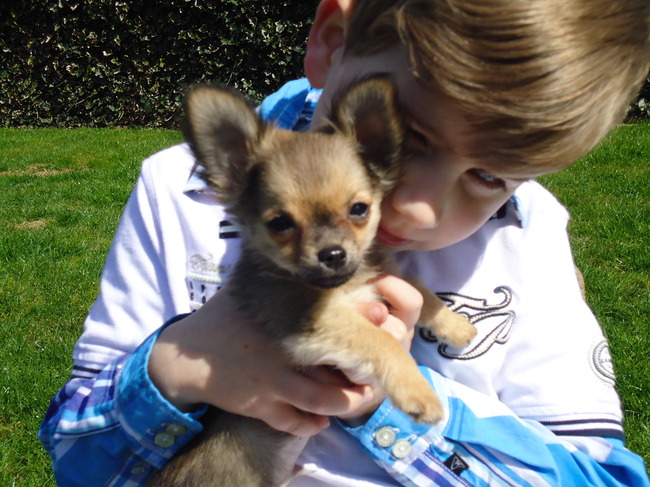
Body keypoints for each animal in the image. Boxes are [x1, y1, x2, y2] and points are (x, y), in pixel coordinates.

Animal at [148, 78, 477, 486]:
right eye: (280, 223)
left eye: (359, 209)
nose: (332, 254)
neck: (339, 286)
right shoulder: (305, 322)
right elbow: (380, 340)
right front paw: (419, 393)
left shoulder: (377, 273)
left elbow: (418, 287)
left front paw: (456, 326)